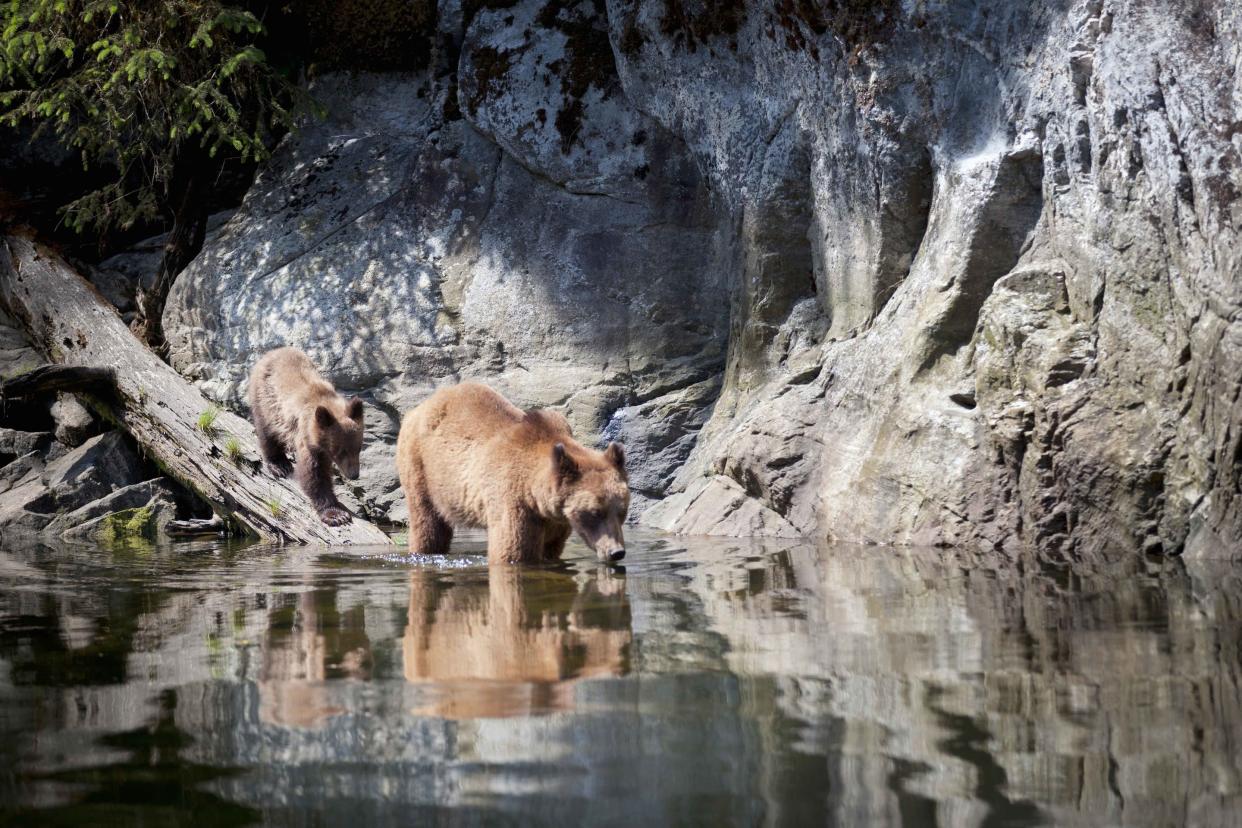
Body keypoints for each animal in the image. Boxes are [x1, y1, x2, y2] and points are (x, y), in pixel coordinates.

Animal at [248, 347, 362, 528]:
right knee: (267, 432)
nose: (354, 475)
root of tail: (271, 352)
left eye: (358, 448)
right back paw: (279, 465)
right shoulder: (306, 438)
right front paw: (336, 515)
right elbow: (314, 475)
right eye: (340, 451)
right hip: (266, 402)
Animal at [397, 384, 630, 566]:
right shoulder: (514, 502)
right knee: (429, 526)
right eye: (595, 512)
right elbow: (512, 552)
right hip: (422, 468)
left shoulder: (556, 522)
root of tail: (420, 406)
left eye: (622, 510)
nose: (617, 552)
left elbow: (551, 549)